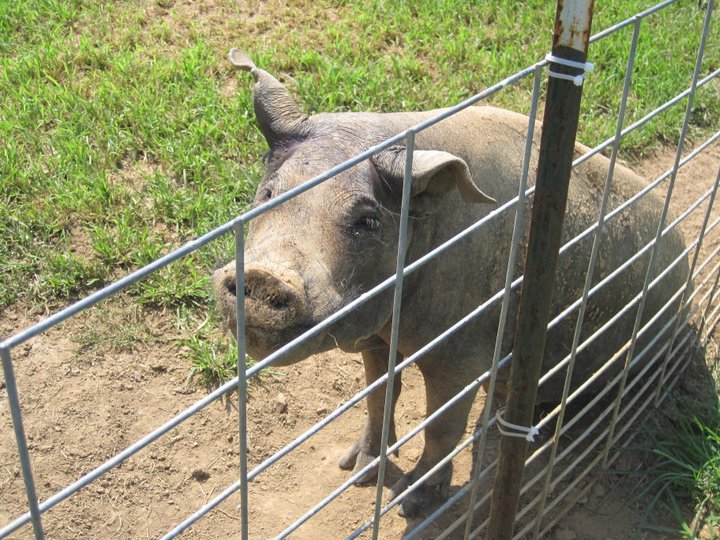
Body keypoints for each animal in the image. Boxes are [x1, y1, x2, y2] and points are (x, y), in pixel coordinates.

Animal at [212, 49, 689, 517]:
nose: (262, 277)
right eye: (269, 194)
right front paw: (356, 470)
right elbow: (379, 395)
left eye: (367, 220)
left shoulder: (463, 351)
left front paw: (409, 504)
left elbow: (441, 427)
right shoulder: (377, 336)